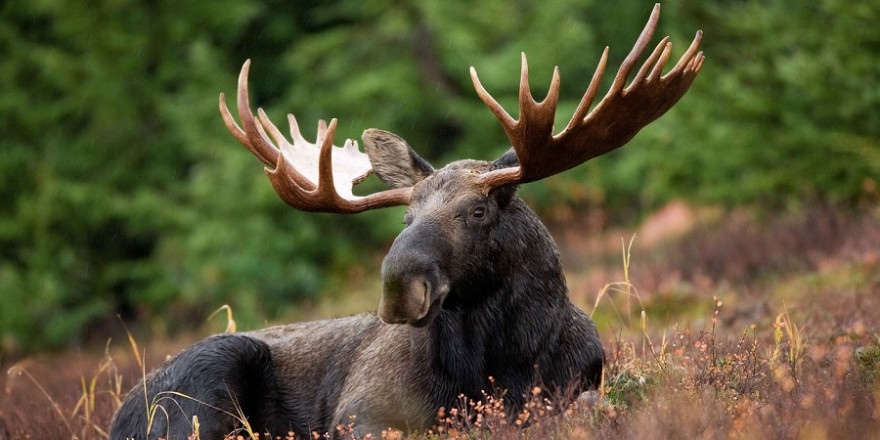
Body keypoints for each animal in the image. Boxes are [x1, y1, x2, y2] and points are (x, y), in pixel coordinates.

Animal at [110, 4, 704, 440]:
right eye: (405, 217)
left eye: (478, 210)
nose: (399, 287)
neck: (502, 364)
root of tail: (120, 415)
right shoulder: (360, 413)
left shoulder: (580, 383)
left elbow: (591, 406)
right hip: (205, 382)